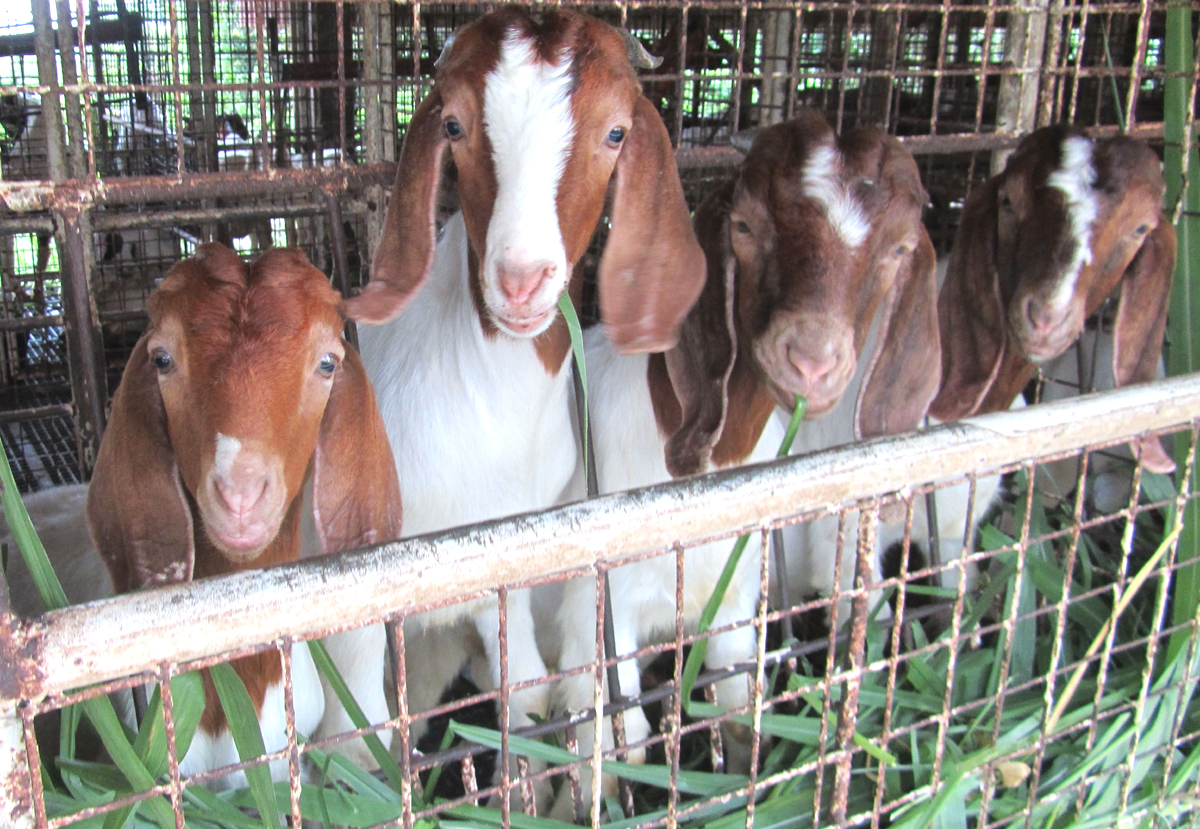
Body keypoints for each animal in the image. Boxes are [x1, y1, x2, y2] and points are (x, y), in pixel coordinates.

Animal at [344, 6, 705, 803]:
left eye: (615, 132)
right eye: (453, 124)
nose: (519, 280)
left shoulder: (509, 569)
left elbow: (529, 694)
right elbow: (365, 737)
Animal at [551, 112, 939, 818]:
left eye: (899, 249)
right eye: (745, 226)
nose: (811, 359)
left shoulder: (732, 599)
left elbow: (737, 708)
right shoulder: (595, 616)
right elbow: (614, 748)